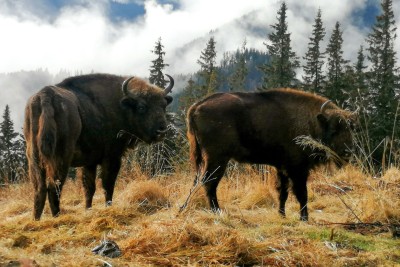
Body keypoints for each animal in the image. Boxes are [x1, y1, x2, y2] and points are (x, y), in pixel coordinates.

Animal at [24, 73, 174, 220]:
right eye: (142, 107)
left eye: (163, 105)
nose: (161, 131)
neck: (120, 105)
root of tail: (45, 97)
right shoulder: (112, 157)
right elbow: (108, 185)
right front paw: (108, 207)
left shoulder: (89, 162)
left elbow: (89, 188)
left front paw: (88, 210)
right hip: (60, 159)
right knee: (54, 187)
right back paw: (57, 217)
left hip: (34, 159)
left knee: (39, 189)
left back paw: (36, 219)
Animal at [186, 89, 354, 221]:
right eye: (333, 130)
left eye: (350, 129)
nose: (347, 152)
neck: (312, 121)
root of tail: (196, 106)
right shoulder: (297, 169)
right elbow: (302, 193)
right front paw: (304, 218)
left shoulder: (282, 168)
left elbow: (282, 192)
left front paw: (282, 215)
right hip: (217, 159)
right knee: (209, 182)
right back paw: (217, 212)